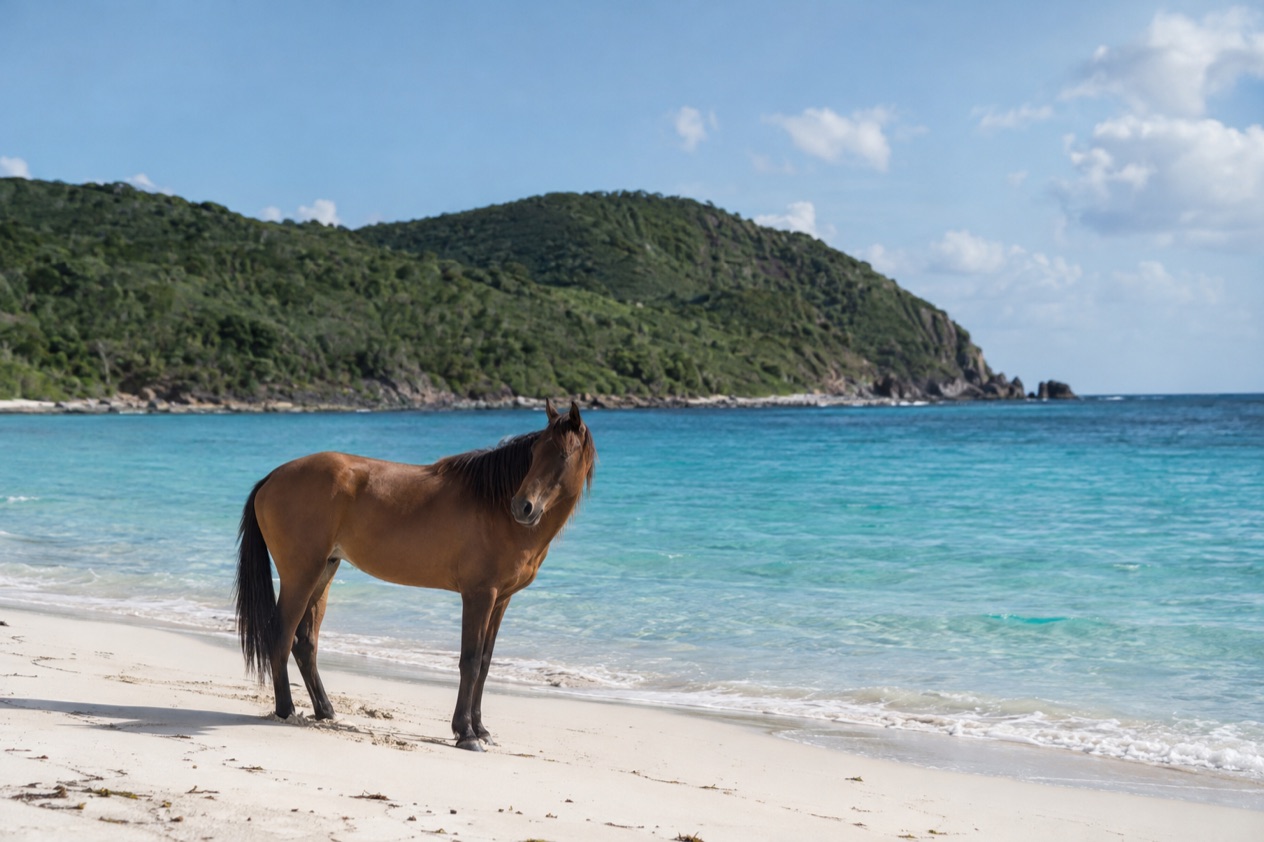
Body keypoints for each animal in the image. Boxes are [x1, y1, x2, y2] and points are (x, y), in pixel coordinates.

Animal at [234, 399, 595, 751]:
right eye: (535, 453)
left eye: (562, 455)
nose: (523, 506)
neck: (495, 510)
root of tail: (272, 478)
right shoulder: (479, 595)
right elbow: (470, 661)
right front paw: (466, 733)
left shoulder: (501, 599)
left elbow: (486, 663)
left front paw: (482, 730)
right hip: (301, 575)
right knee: (281, 636)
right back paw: (287, 710)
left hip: (324, 573)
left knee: (306, 643)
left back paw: (325, 711)